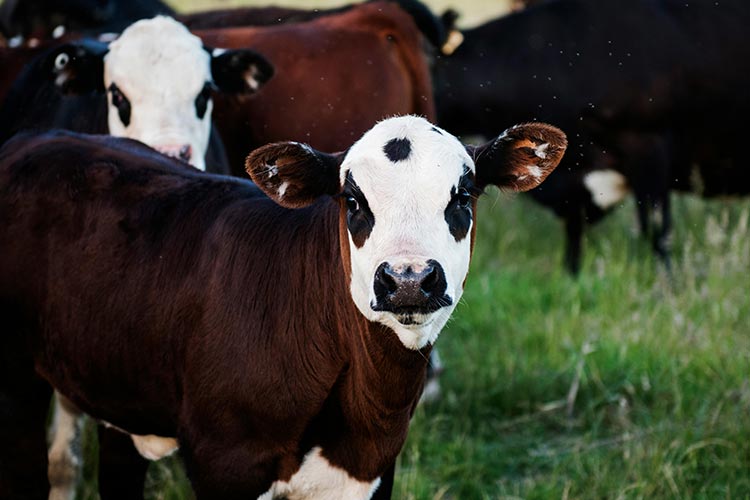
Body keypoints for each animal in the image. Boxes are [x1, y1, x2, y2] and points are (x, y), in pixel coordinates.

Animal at [0, 115, 566, 499]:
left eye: (463, 196)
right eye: (353, 200)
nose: (408, 280)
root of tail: (36, 137)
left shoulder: (374, 470)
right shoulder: (224, 463)